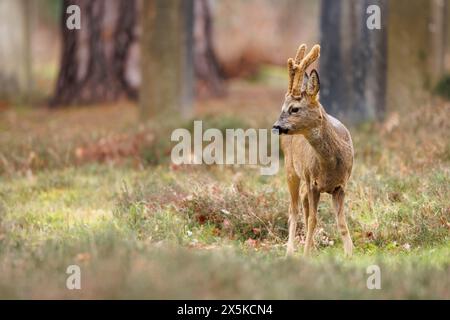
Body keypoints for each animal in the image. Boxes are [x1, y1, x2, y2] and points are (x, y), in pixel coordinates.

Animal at [272, 43, 354, 256]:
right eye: (282, 107)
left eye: (294, 108)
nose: (276, 126)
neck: (330, 165)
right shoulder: (312, 182)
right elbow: (312, 219)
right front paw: (306, 253)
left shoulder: (341, 185)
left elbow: (341, 223)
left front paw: (350, 252)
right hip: (290, 169)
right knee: (293, 209)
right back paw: (291, 251)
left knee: (302, 201)